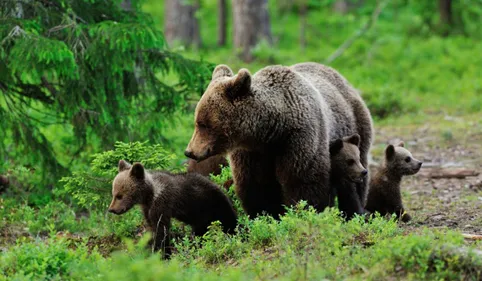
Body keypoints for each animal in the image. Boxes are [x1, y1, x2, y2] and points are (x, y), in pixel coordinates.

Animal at [185, 62, 372, 218]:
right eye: (197, 121)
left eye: (203, 124)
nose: (189, 152)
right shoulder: (253, 153)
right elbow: (257, 187)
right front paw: (266, 215)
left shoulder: (299, 139)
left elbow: (303, 183)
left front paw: (301, 213)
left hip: (355, 128)